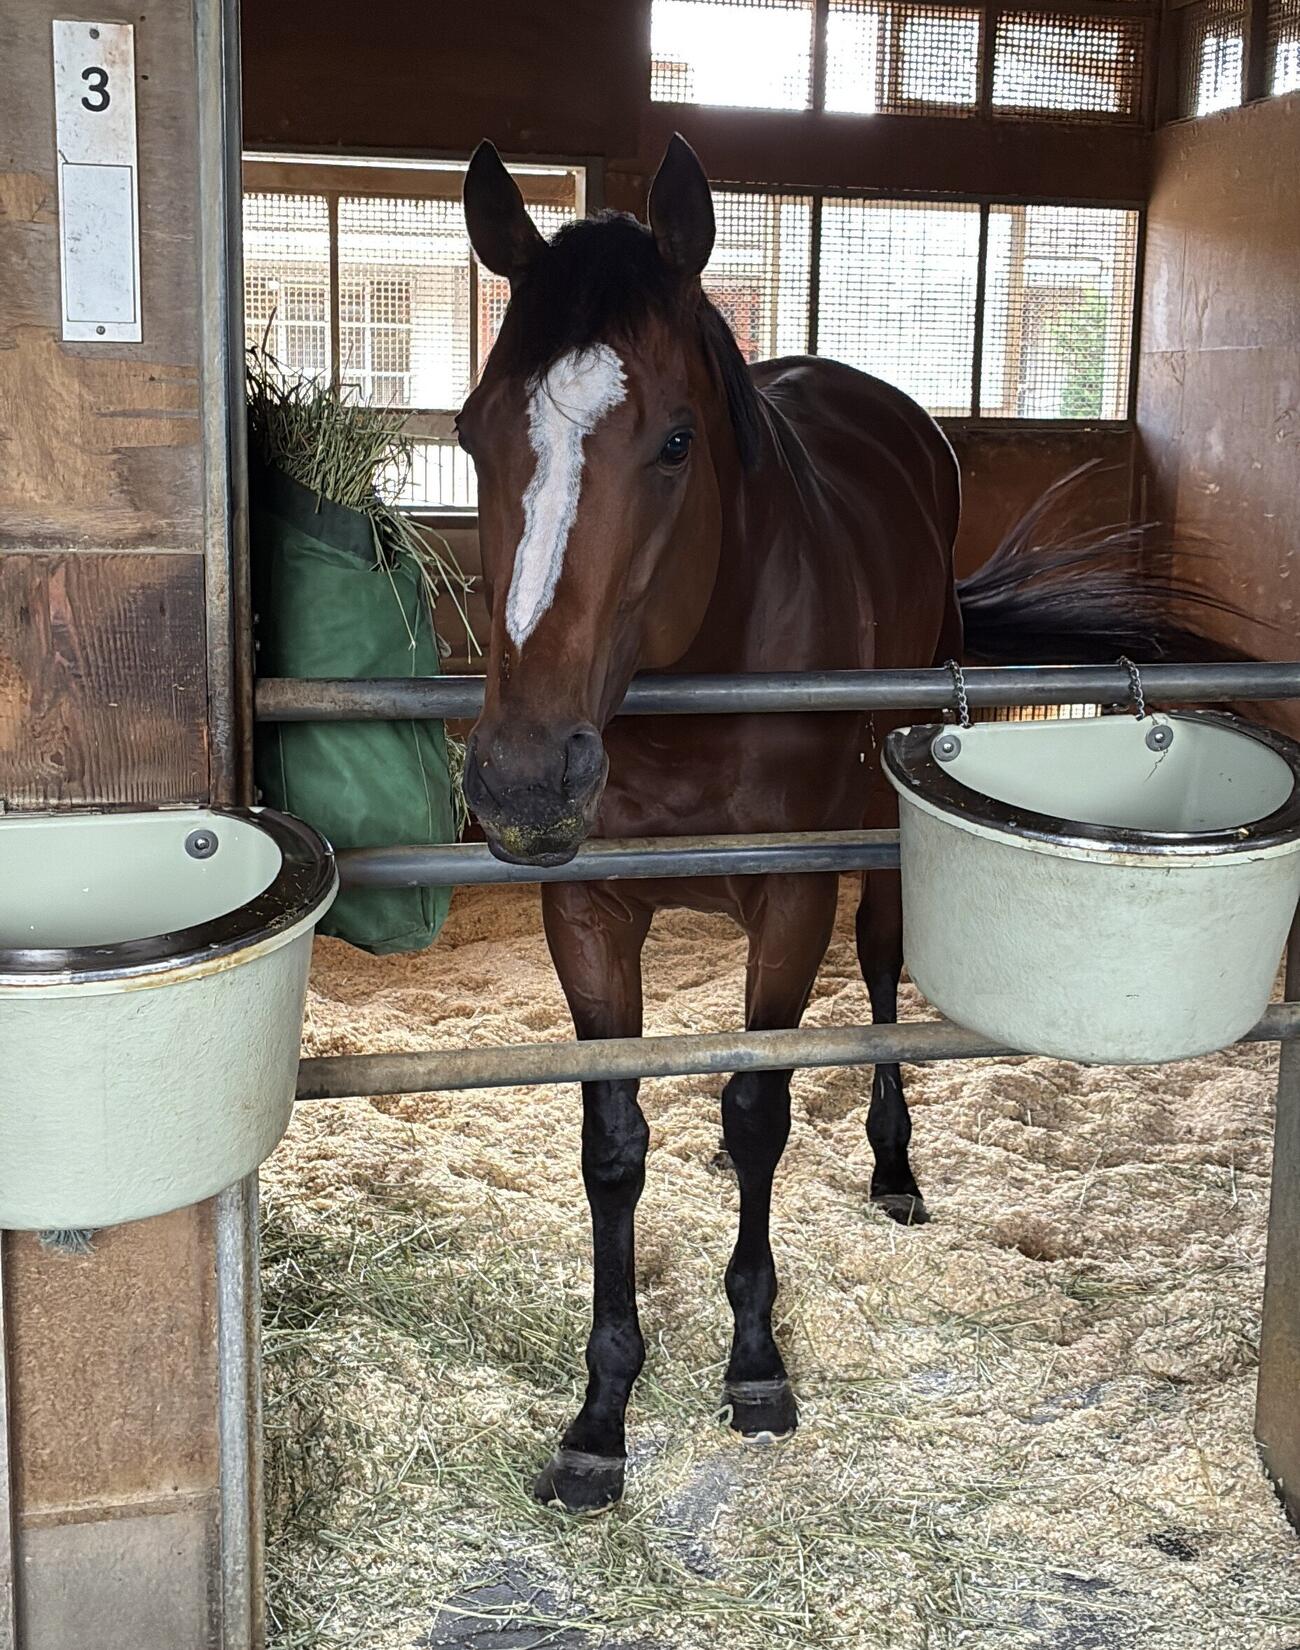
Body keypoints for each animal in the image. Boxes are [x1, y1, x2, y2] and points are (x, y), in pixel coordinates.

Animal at [455, 135, 1204, 1513]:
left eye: (675, 440)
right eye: (474, 432)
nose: (524, 780)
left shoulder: (791, 893)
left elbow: (761, 1112)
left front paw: (755, 1362)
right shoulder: (586, 907)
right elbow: (612, 1144)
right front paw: (600, 1412)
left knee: (878, 975)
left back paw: (894, 1168)